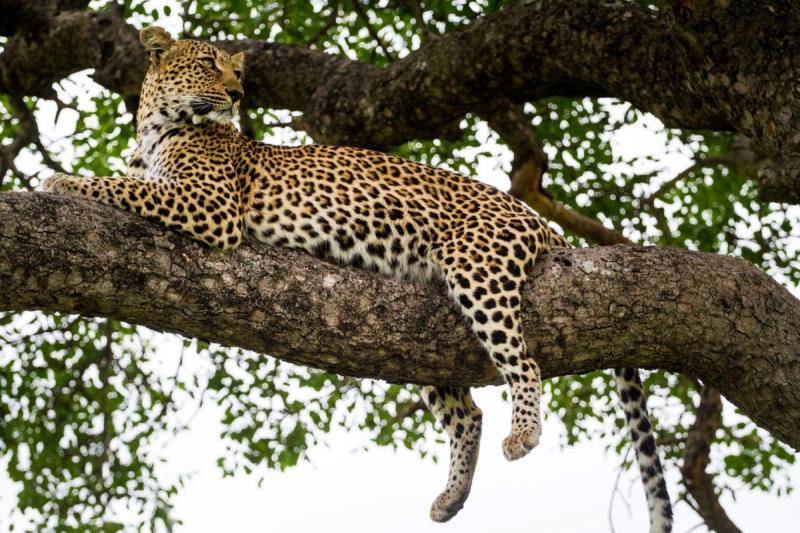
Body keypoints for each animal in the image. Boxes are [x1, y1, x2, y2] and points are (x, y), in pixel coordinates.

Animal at [43, 26, 673, 532]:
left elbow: (122, 187)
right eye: (206, 64)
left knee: (526, 363)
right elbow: (129, 182)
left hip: (478, 269)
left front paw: (59, 180)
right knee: (466, 412)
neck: (157, 128)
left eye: (238, 71)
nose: (238, 95)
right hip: (421, 339)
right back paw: (450, 498)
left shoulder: (210, 206)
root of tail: (537, 217)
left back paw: (523, 434)